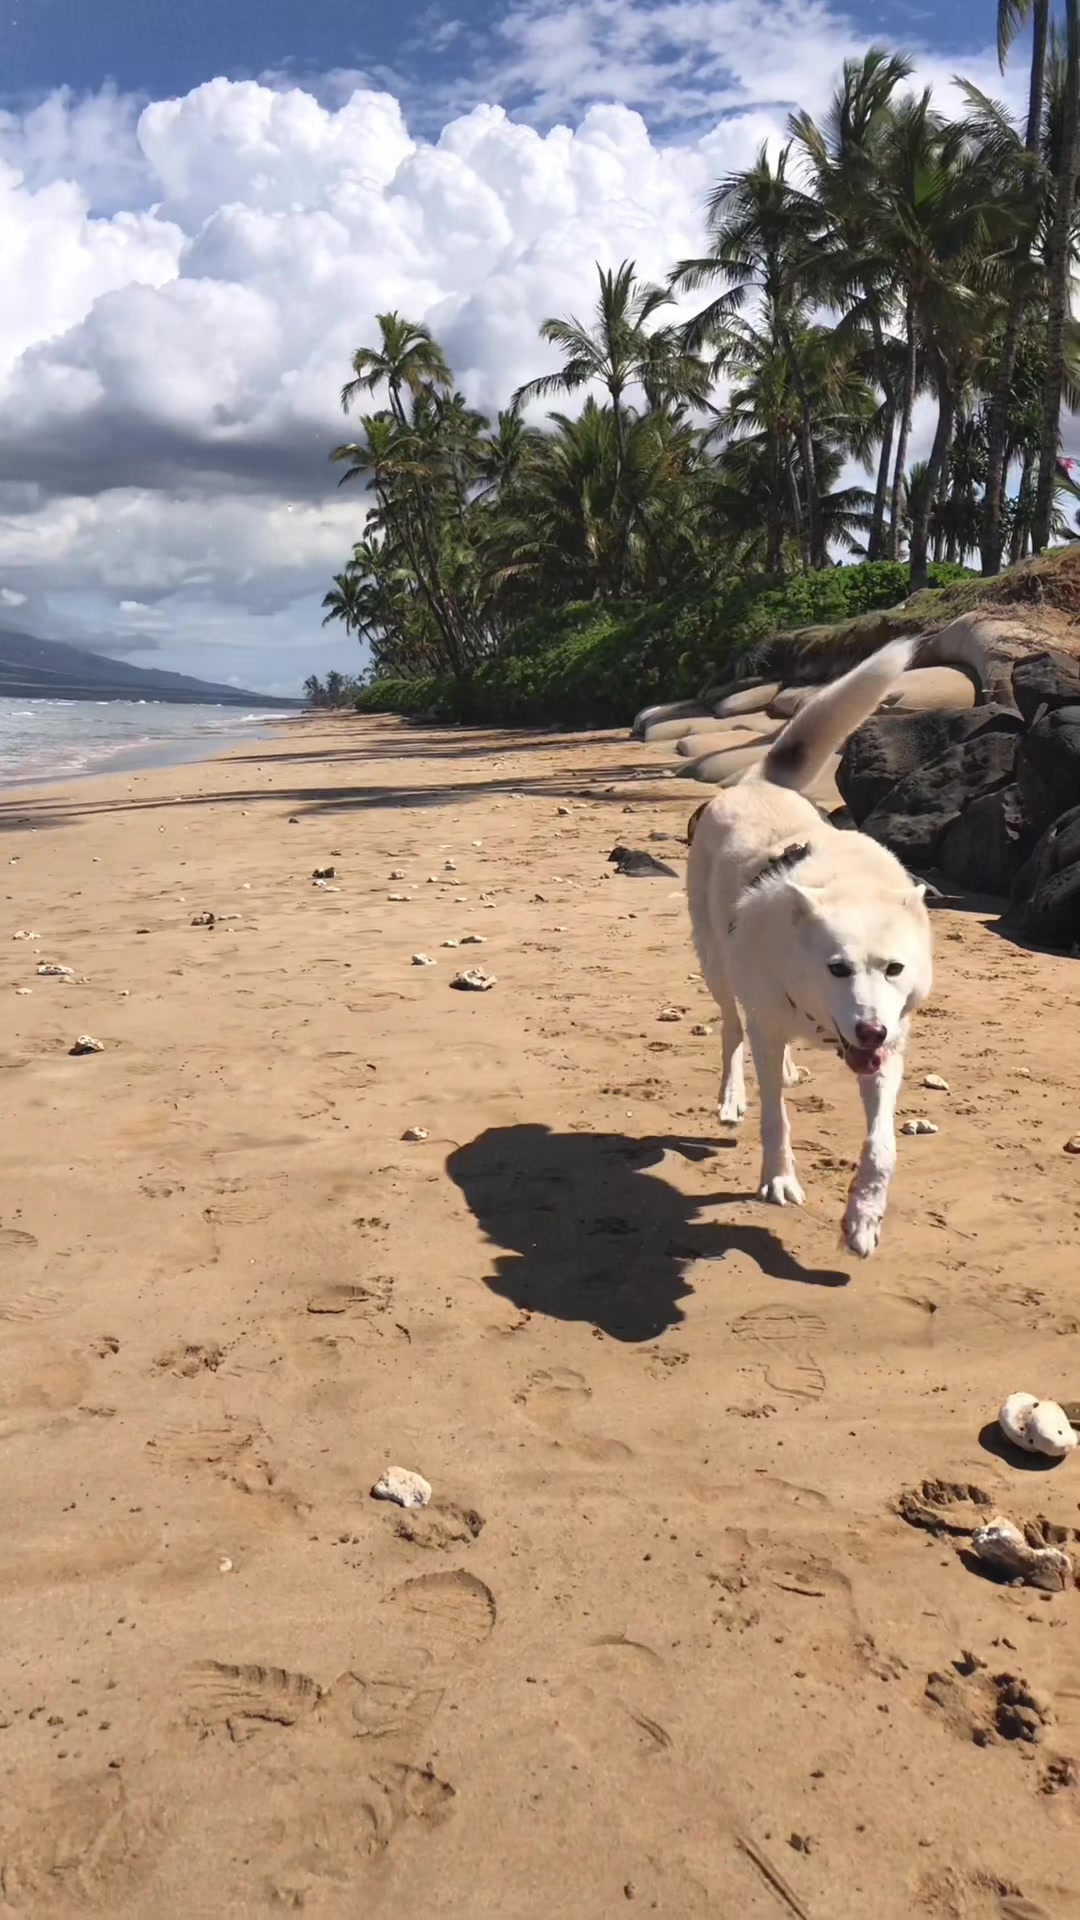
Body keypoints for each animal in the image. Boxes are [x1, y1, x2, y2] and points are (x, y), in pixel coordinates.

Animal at [685, 638, 933, 1258]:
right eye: (836, 968)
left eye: (895, 968)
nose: (871, 1032)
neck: (847, 883)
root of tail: (755, 785)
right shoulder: (774, 1027)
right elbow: (775, 1117)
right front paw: (778, 1180)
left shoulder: (889, 1054)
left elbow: (881, 1148)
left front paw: (863, 1218)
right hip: (716, 965)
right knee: (732, 1029)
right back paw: (732, 1097)